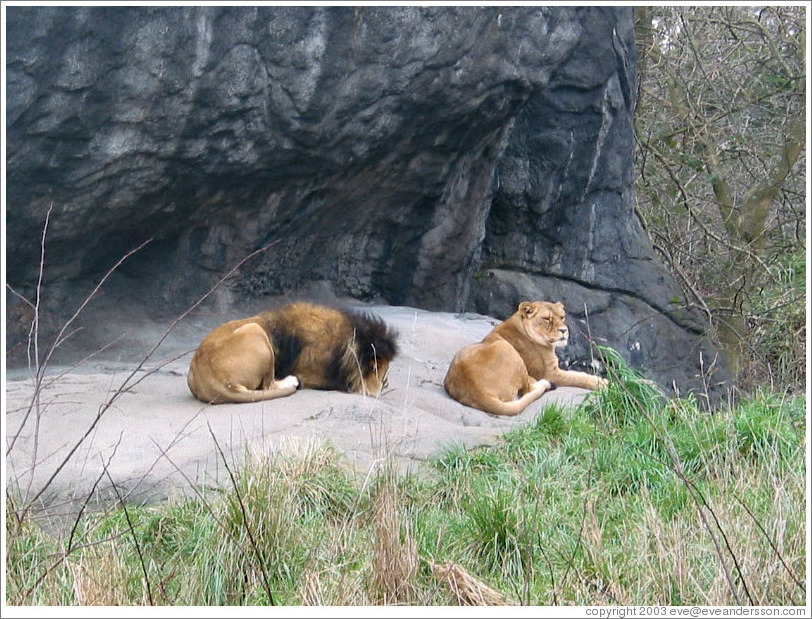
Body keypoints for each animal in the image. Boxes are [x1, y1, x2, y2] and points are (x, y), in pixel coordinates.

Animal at [185, 302, 400, 406]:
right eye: (379, 368)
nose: (386, 383)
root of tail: (213, 382)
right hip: (255, 330)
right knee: (269, 385)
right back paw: (292, 381)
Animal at [444, 302, 608, 416]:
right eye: (547, 319)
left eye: (562, 317)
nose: (564, 330)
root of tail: (478, 392)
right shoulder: (550, 373)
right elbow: (577, 376)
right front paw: (601, 383)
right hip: (507, 349)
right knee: (527, 390)